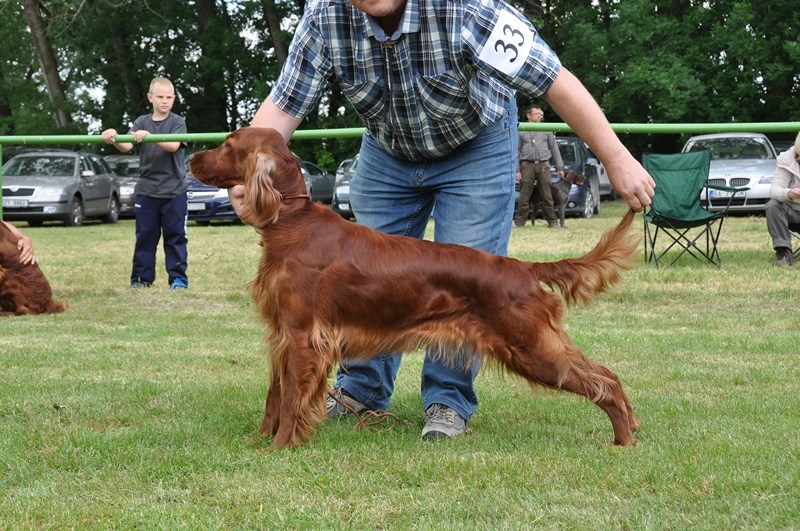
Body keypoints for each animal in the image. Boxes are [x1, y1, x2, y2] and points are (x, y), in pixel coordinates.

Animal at [191, 128, 640, 448]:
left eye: (228, 144)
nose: (193, 157)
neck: (292, 224)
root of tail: (522, 268)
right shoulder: (281, 335)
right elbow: (275, 396)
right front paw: (261, 440)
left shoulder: (302, 338)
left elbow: (290, 402)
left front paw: (280, 447)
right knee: (606, 375)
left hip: (530, 346)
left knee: (604, 381)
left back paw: (623, 439)